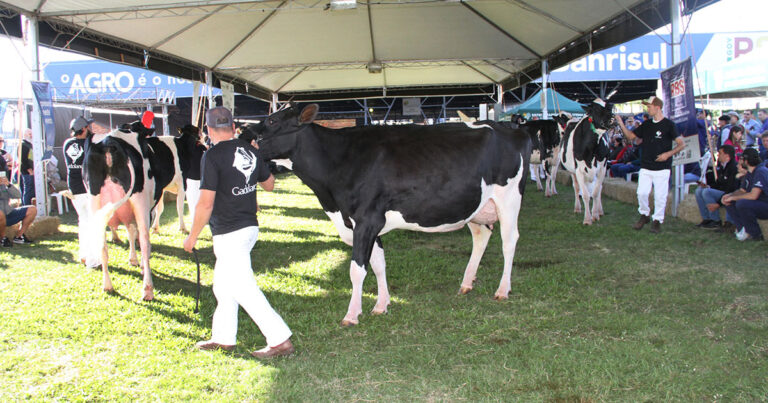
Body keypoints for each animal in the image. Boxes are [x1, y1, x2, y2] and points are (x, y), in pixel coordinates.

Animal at [82, 124, 182, 302]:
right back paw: (147, 289)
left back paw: (107, 285)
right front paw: (140, 262)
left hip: (95, 203)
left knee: (102, 245)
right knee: (144, 240)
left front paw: (133, 259)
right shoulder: (146, 209)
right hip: (140, 202)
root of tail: (109, 142)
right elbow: (138, 235)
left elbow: (130, 231)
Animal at [248, 105, 536, 328]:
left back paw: (502, 290)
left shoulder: (366, 220)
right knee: (481, 235)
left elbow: (357, 270)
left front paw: (352, 315)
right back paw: (466, 284)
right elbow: (378, 265)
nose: (243, 131)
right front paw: (381, 305)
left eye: (272, 120)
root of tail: (512, 129)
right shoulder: (367, 224)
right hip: (477, 206)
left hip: (509, 198)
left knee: (509, 241)